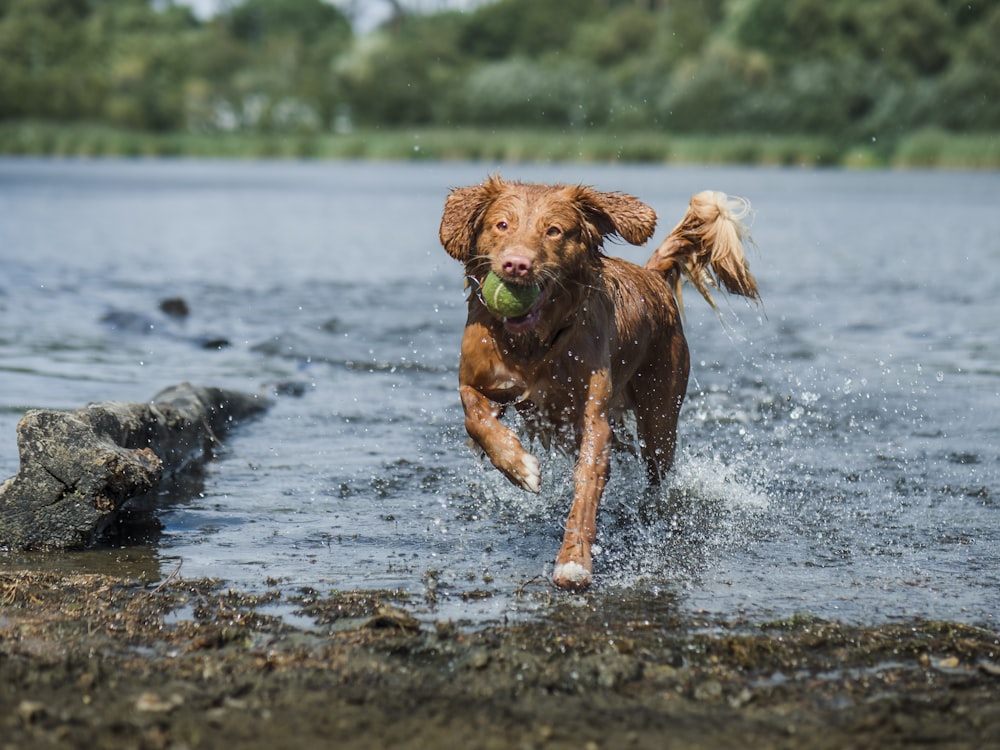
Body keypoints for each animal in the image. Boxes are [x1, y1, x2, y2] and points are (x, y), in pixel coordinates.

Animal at [438, 178, 756, 592]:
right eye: (501, 225)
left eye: (554, 231)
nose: (516, 265)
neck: (534, 345)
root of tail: (652, 276)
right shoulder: (475, 381)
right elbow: (475, 418)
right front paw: (519, 465)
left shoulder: (594, 419)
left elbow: (586, 489)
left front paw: (574, 561)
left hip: (660, 415)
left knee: (657, 469)